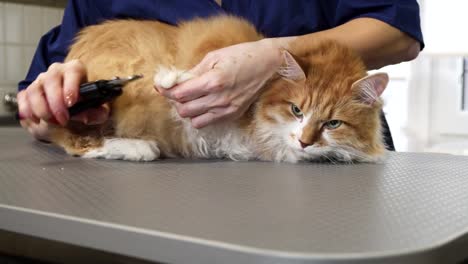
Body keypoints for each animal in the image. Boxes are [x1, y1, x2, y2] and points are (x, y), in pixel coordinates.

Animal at [49, 16, 390, 163]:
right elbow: (181, 75)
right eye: (297, 110)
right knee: (72, 140)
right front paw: (170, 78)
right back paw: (139, 148)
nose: (305, 142)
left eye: (332, 123)